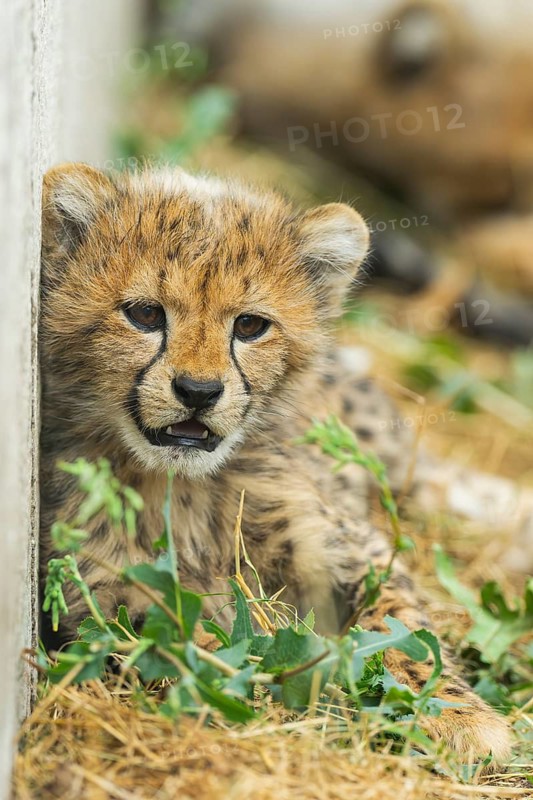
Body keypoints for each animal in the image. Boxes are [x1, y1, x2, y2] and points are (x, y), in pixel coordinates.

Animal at [40, 162, 511, 765]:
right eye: (145, 314)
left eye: (250, 326)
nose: (198, 391)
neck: (181, 486)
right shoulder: (102, 595)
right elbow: (190, 645)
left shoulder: (349, 548)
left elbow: (403, 624)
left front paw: (457, 715)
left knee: (440, 483)